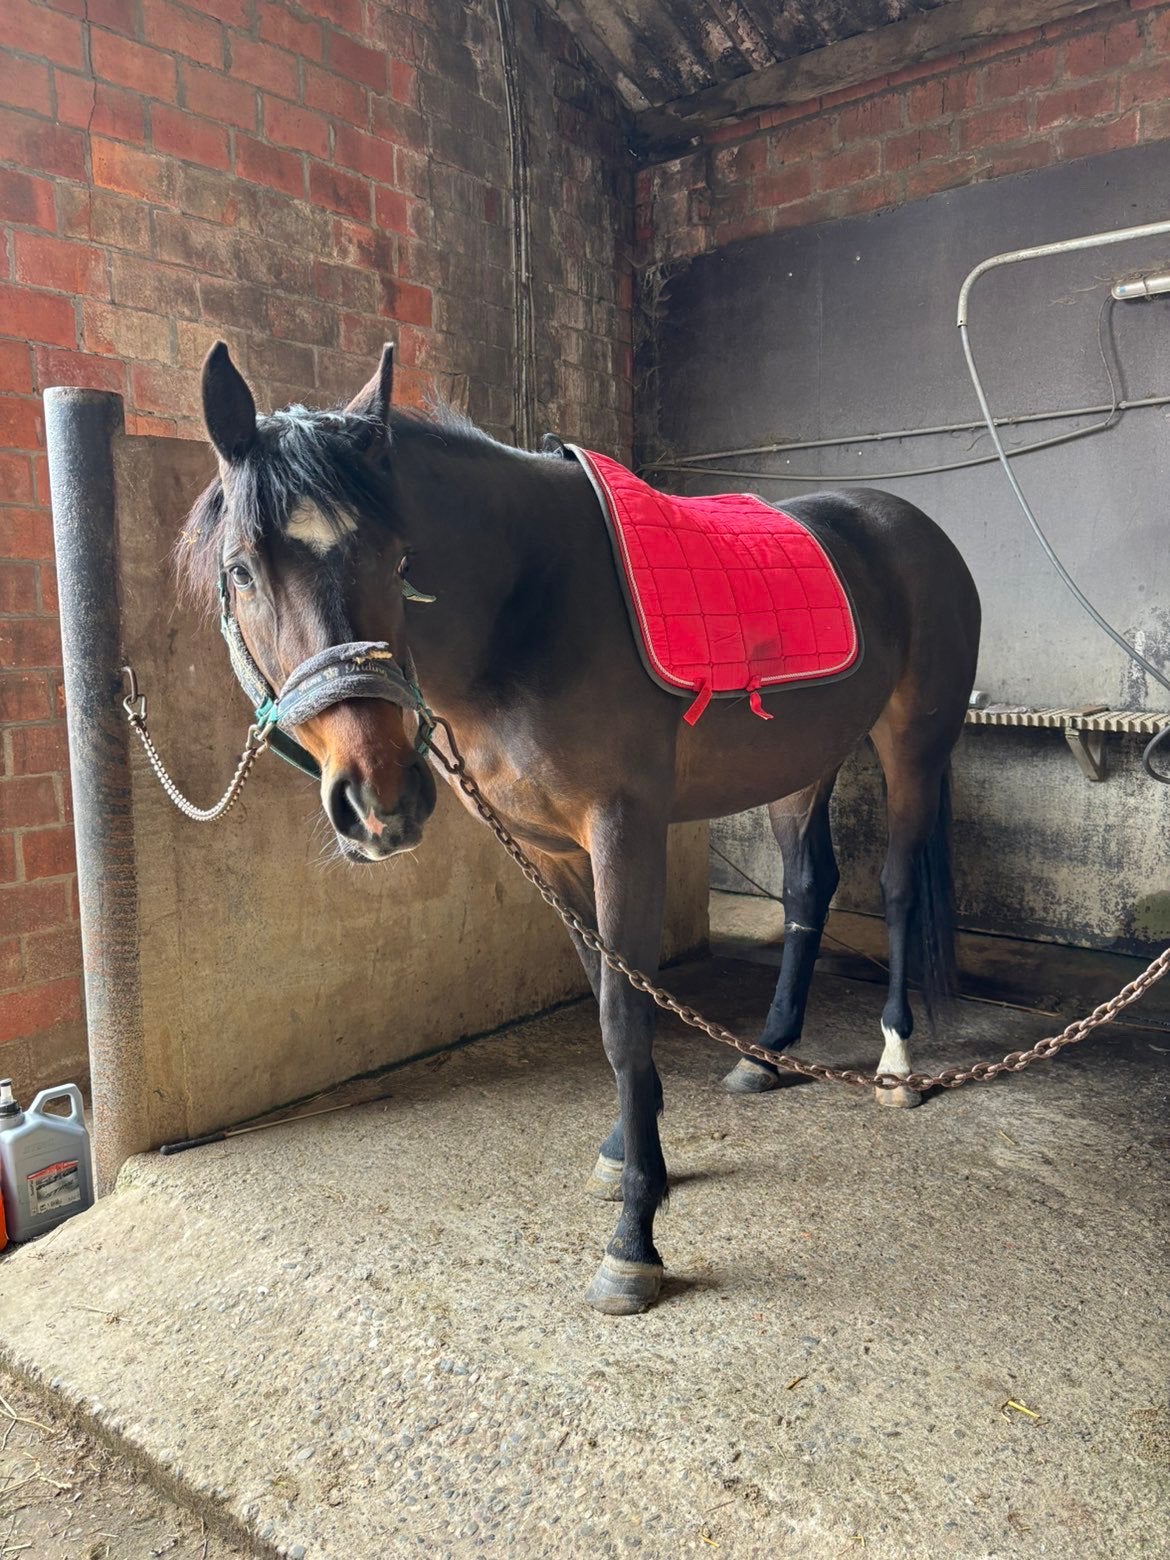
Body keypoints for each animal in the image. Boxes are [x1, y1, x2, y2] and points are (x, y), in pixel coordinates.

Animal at [182, 341, 981, 1315]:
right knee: (807, 889)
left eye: (400, 556)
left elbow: (624, 1019)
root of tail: (914, 529)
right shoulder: (549, 851)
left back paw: (898, 1065)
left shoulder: (623, 831)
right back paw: (767, 1055)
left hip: (913, 743)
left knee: (898, 887)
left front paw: (635, 1239)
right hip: (803, 765)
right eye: (242, 570)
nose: (380, 797)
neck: (530, 604)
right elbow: (605, 994)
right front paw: (628, 1154)